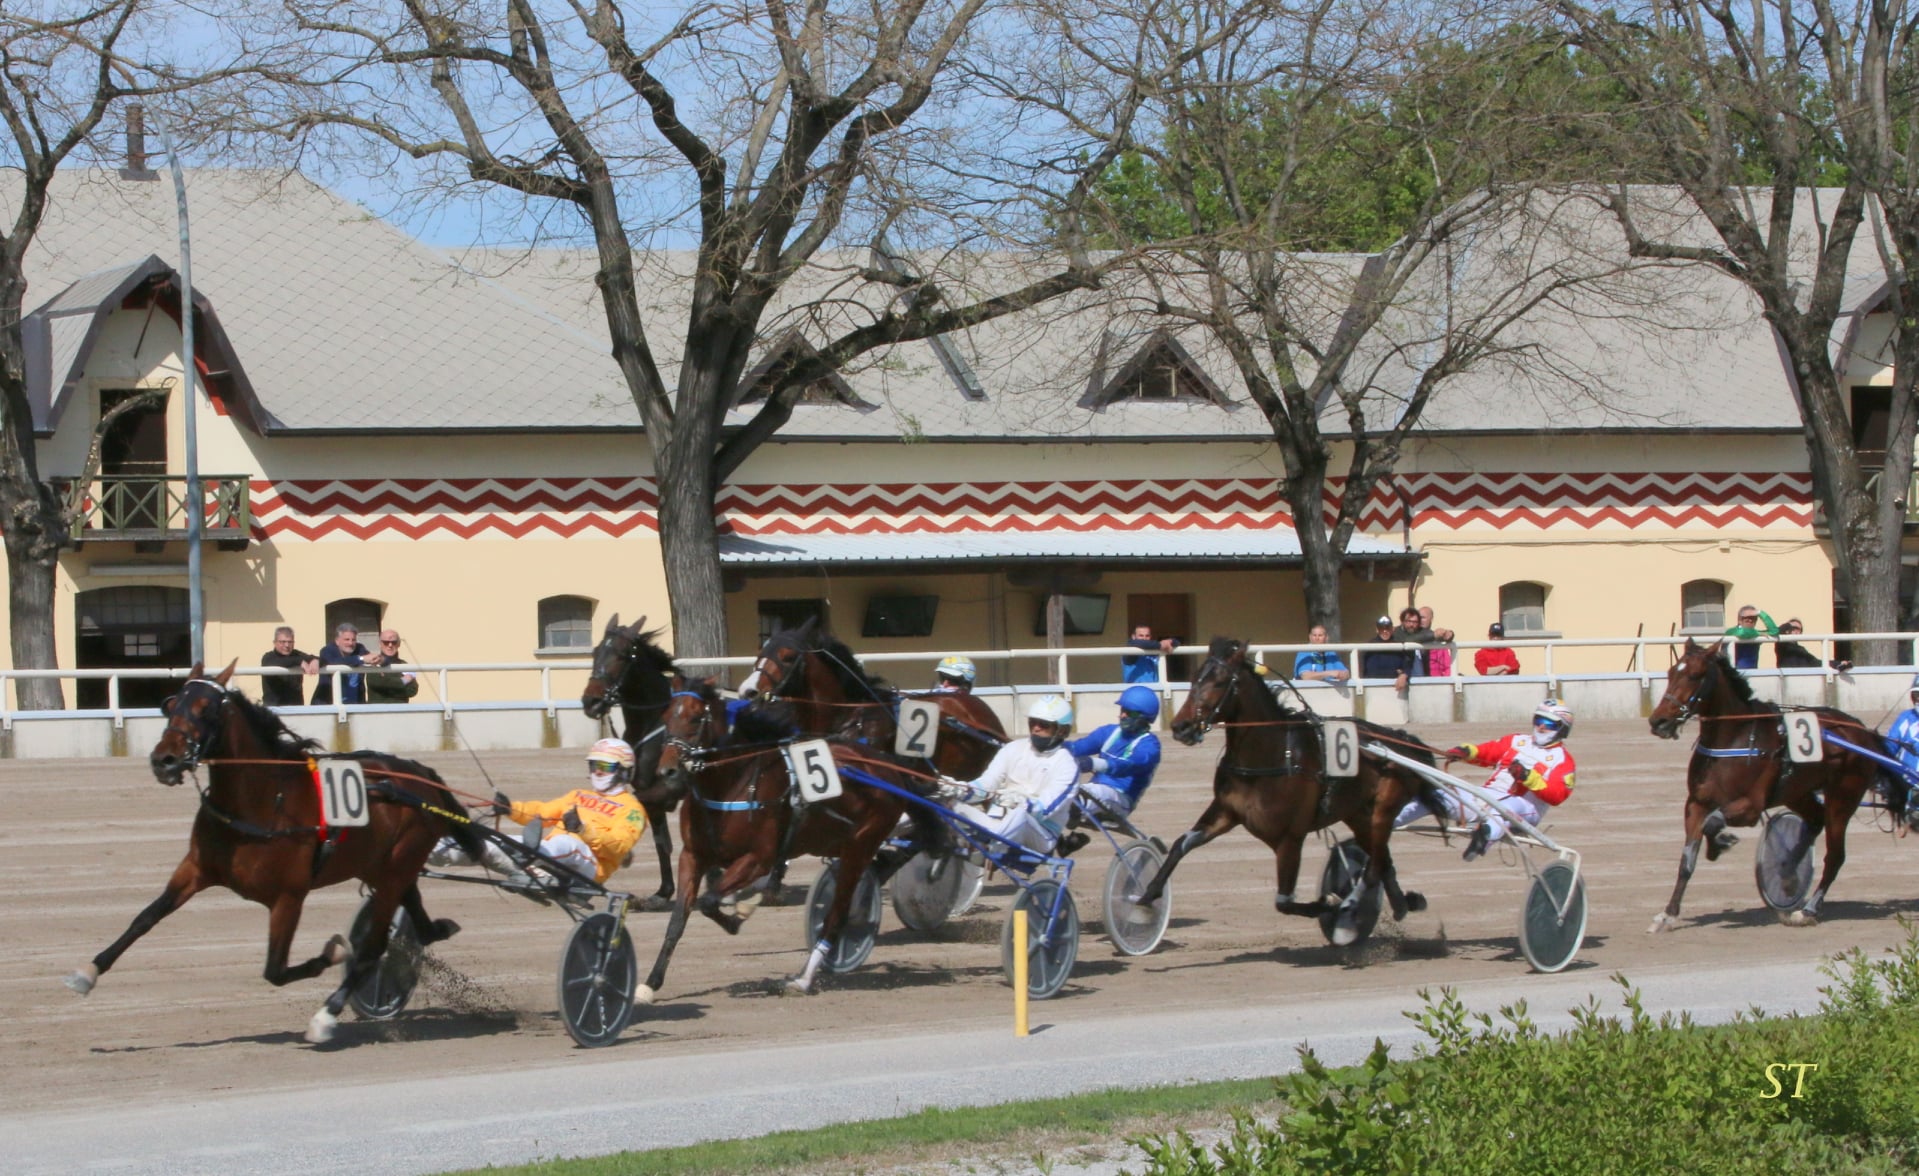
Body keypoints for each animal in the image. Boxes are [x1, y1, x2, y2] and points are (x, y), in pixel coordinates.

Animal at [67, 663, 487, 1043]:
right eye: (170, 705)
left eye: (206, 708)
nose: (164, 760)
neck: (264, 801)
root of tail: (423, 776)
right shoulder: (196, 869)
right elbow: (145, 918)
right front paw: (87, 972)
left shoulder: (289, 896)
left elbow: (276, 969)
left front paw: (335, 953)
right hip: (383, 867)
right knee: (416, 922)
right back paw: (437, 929)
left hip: (395, 868)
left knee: (373, 947)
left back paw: (326, 1017)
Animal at [579, 613, 687, 909]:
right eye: (595, 652)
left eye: (622, 654)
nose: (592, 701)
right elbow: (662, 843)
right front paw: (663, 892)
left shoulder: (663, 790)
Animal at [640, 679, 940, 997]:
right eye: (666, 718)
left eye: (697, 718)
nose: (667, 771)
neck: (730, 784)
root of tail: (888, 767)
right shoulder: (693, 856)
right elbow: (677, 921)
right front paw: (651, 983)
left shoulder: (759, 858)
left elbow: (709, 901)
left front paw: (738, 916)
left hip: (860, 845)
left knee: (838, 913)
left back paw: (803, 979)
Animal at [1128, 633, 1443, 943]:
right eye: (1194, 679)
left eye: (1219, 681)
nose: (1181, 727)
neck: (1270, 757)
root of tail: (1401, 740)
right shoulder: (1226, 812)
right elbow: (1180, 845)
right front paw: (1146, 896)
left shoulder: (1290, 837)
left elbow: (1284, 902)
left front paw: (1328, 904)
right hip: (1358, 815)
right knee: (1382, 861)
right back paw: (1403, 903)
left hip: (1382, 811)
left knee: (1375, 868)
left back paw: (1353, 908)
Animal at [1642, 640, 1895, 924]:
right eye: (1671, 672)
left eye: (1695, 675)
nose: (1659, 721)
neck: (1733, 740)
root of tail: (1862, 730)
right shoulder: (1696, 803)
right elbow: (1687, 860)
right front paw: (1668, 914)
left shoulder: (1750, 806)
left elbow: (1714, 822)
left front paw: (1720, 842)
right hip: (1798, 792)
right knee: (1815, 821)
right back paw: (1788, 872)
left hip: (1843, 797)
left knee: (1835, 855)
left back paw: (1809, 909)